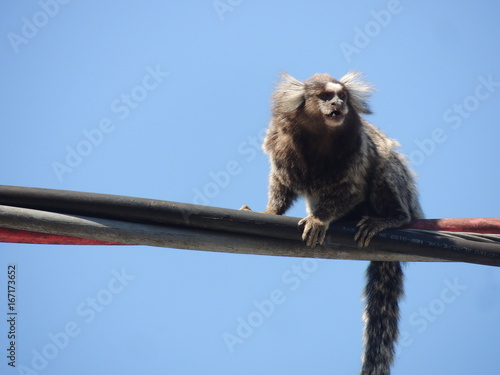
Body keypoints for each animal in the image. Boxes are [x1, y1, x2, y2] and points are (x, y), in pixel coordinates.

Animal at [242, 71, 422, 375]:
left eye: (343, 96)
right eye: (326, 96)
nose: (338, 103)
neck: (318, 136)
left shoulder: (356, 149)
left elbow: (352, 188)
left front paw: (319, 219)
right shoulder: (281, 145)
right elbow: (282, 183)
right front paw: (270, 211)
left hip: (404, 197)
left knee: (386, 166)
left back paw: (392, 218)